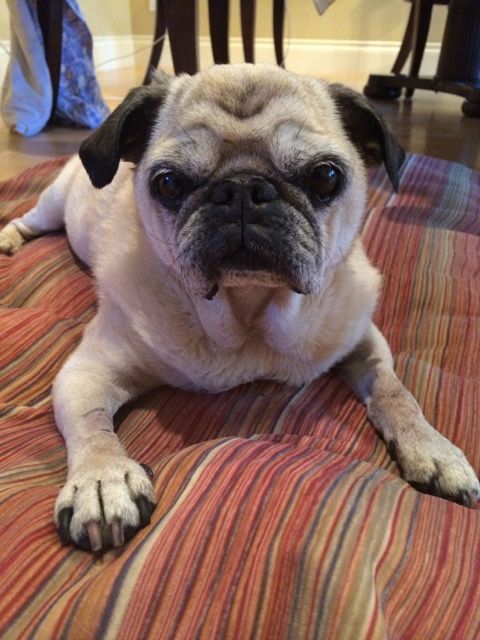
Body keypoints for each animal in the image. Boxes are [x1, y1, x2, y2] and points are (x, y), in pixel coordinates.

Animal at [1, 64, 478, 552]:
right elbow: (92, 428)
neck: (249, 314)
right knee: (30, 218)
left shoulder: (361, 337)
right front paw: (103, 479)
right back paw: (10, 238)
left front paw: (431, 447)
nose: (244, 188)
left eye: (325, 177)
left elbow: (395, 392)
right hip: (54, 204)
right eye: (168, 183)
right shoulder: (87, 372)